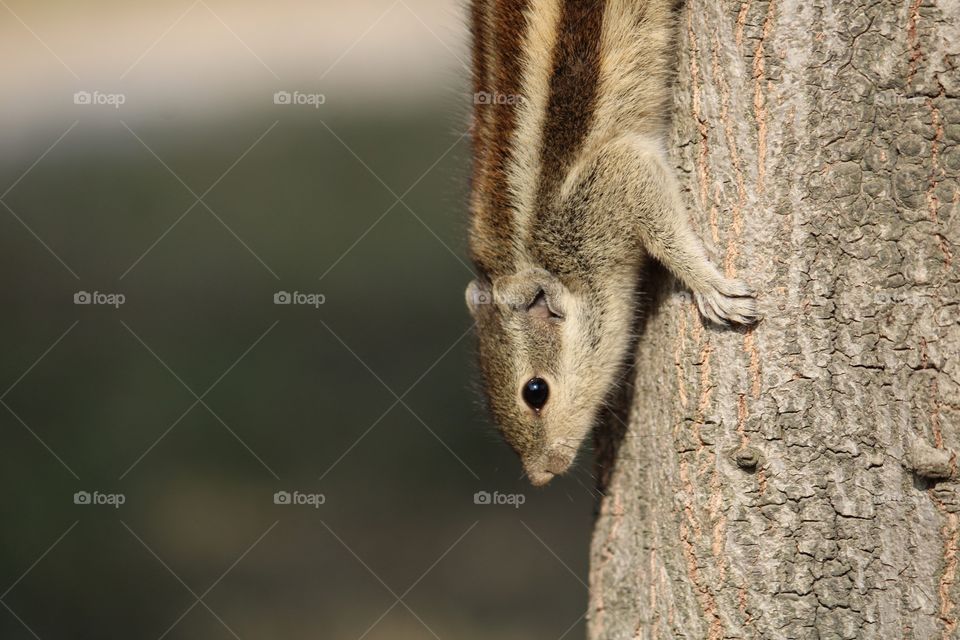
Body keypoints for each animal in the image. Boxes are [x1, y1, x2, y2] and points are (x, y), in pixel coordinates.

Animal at [464, 0, 759, 486]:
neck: (527, 252)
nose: (540, 476)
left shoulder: (610, 180)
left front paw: (711, 288)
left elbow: (663, 230)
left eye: (535, 392)